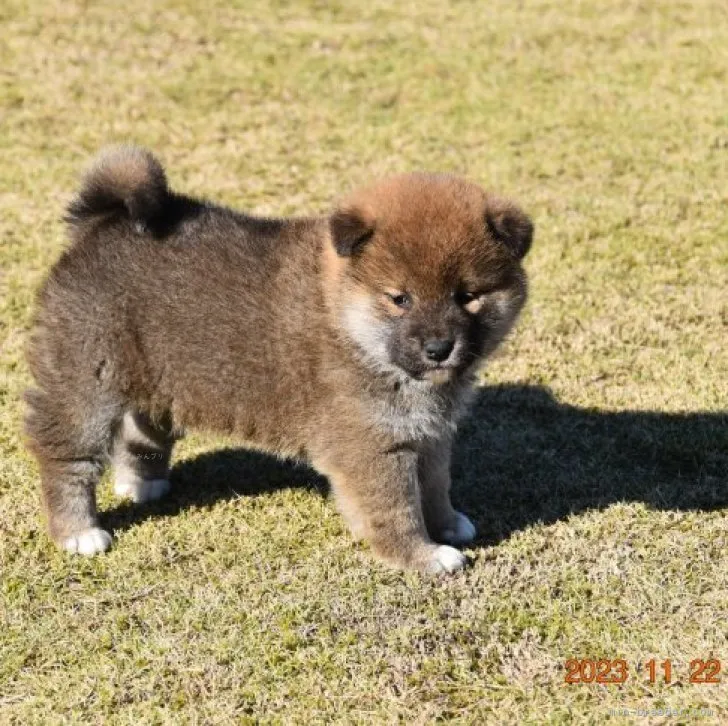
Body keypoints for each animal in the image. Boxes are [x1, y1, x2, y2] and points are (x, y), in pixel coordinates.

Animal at [24, 149, 536, 576]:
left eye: (467, 297)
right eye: (400, 299)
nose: (438, 348)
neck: (347, 322)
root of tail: (100, 225)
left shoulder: (429, 434)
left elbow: (434, 485)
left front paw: (447, 524)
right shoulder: (371, 445)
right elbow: (397, 509)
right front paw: (422, 556)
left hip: (156, 377)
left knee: (140, 431)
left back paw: (142, 484)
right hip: (86, 383)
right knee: (65, 459)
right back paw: (79, 532)